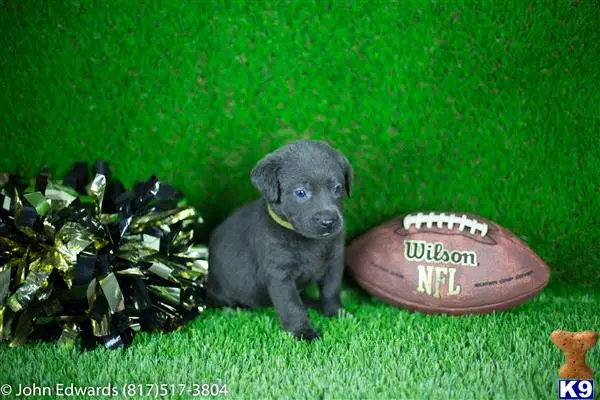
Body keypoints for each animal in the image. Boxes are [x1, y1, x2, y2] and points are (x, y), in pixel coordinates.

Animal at [209, 140, 354, 340]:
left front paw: (336, 313)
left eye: (337, 188)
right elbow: (291, 306)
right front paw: (303, 333)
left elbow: (331, 291)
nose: (328, 221)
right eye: (300, 192)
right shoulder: (279, 274)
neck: (308, 241)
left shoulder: (334, 263)